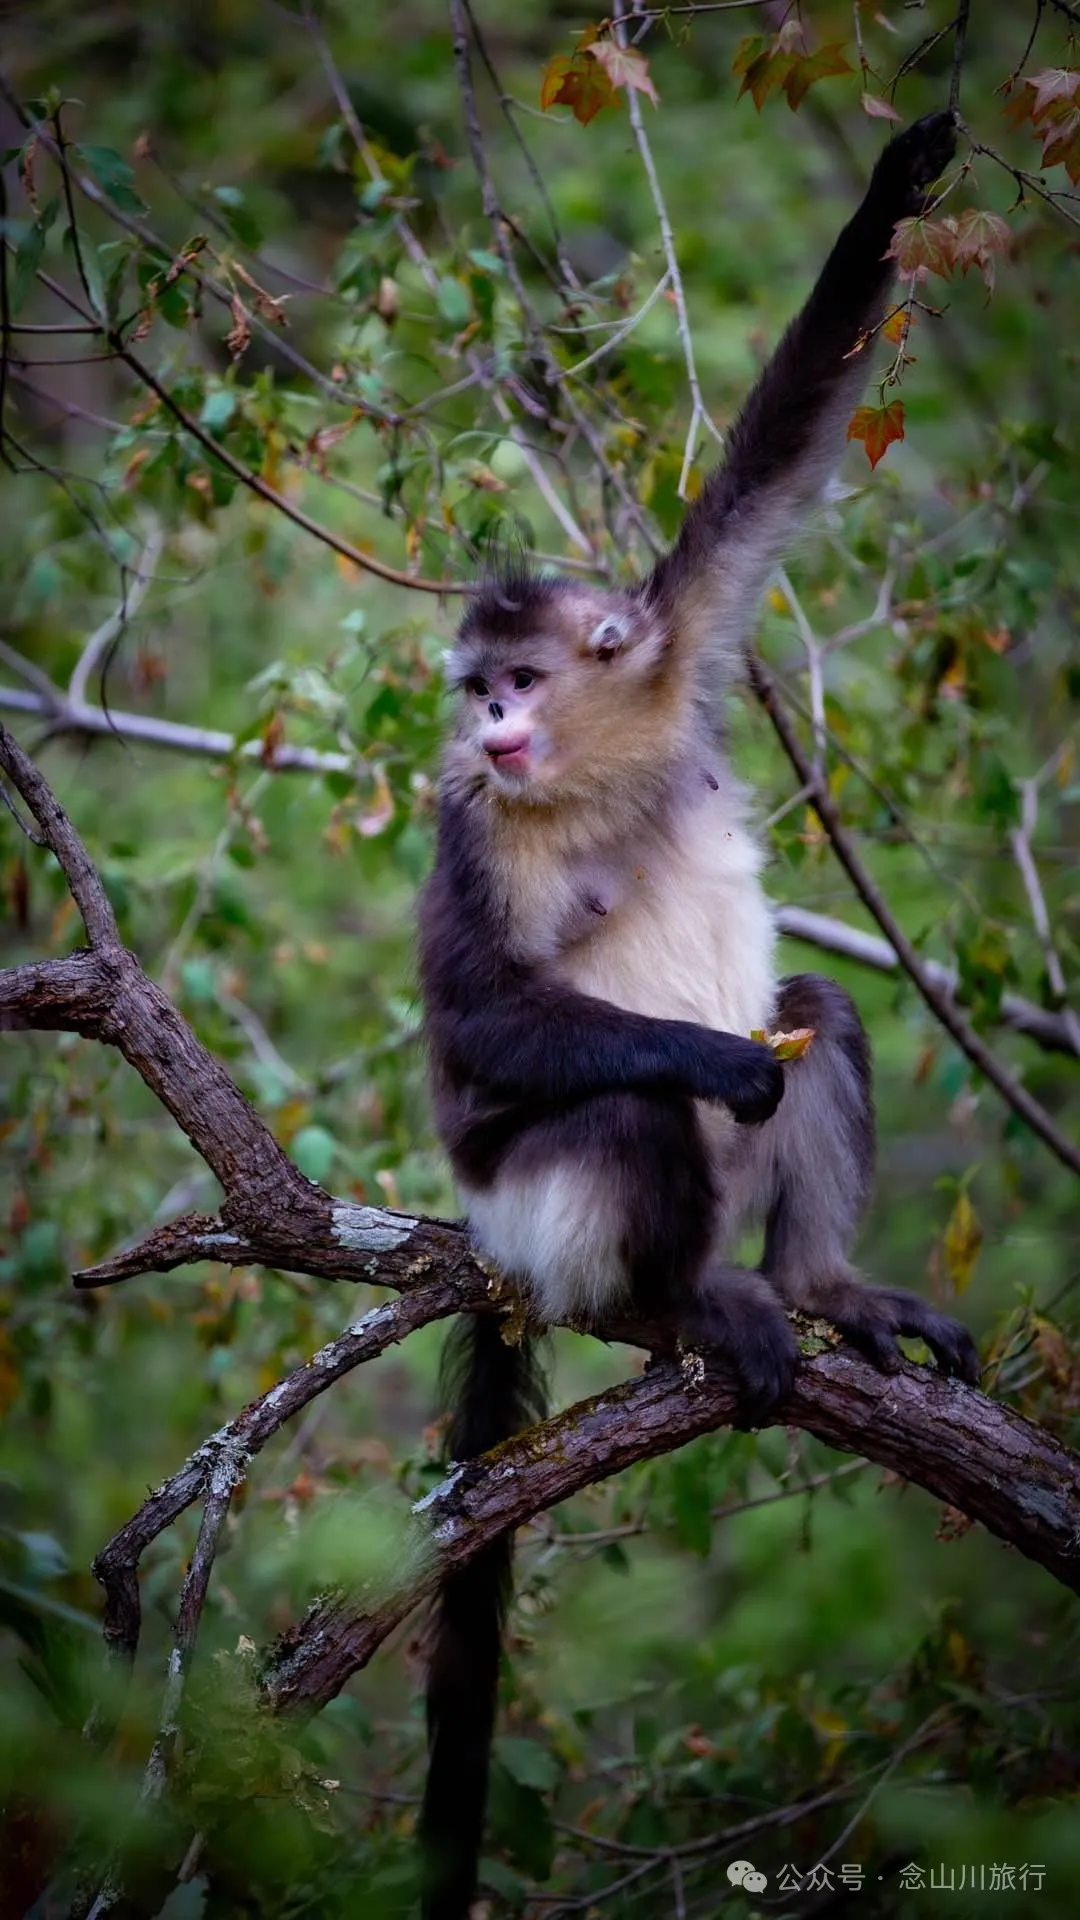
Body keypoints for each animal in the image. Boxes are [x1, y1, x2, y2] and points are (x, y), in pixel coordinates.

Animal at [416, 111, 979, 1920]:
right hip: (537, 1209)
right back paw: (691, 1299)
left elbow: (780, 453)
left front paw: (902, 177)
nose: (492, 720)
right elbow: (480, 1034)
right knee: (628, 1113)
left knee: (824, 1013)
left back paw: (816, 1286)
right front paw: (711, 1054)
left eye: (520, 678)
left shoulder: (674, 644)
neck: (581, 777)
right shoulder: (469, 820)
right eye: (477, 697)